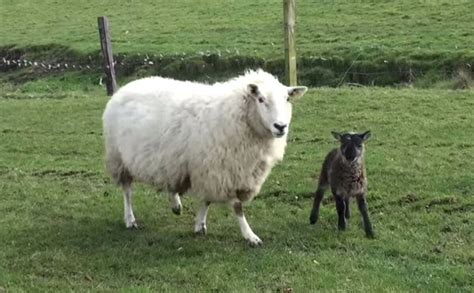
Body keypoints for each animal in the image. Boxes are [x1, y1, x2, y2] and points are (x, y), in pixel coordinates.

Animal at [102, 69, 308, 245]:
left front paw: (200, 225)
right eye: (261, 99)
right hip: (118, 157)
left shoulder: (212, 169)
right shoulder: (221, 170)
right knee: (127, 191)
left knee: (171, 181)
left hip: (169, 159)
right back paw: (130, 219)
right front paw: (250, 236)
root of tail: (126, 87)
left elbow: (207, 200)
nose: (280, 126)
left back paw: (175, 204)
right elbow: (237, 207)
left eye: (287, 99)